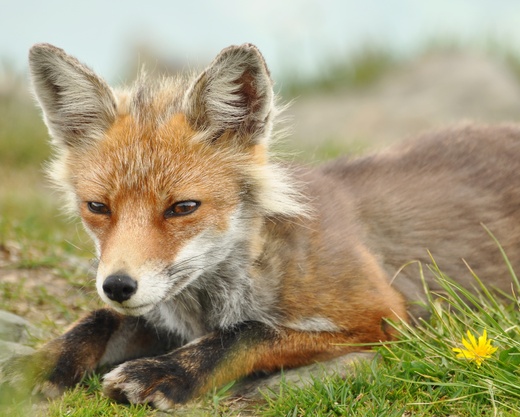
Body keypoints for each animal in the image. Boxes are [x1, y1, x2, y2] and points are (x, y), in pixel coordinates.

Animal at [3, 43, 520, 410]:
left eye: (183, 207)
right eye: (97, 206)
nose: (117, 285)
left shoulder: (386, 317)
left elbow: (249, 333)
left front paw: (166, 374)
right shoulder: (158, 312)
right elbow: (95, 320)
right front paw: (38, 364)